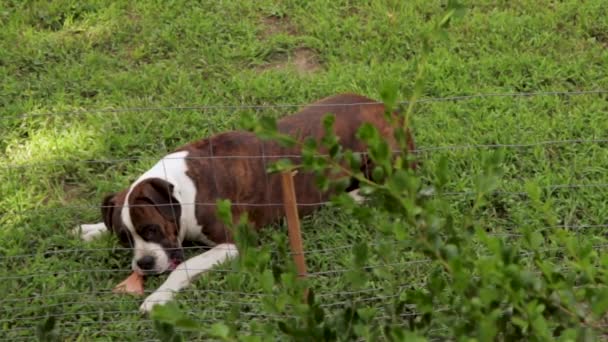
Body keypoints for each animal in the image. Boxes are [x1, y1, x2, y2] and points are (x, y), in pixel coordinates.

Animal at [76, 93, 416, 312]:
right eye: (125, 238)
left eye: (152, 230)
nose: (143, 264)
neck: (184, 192)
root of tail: (393, 112)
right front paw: (92, 229)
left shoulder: (233, 244)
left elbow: (184, 266)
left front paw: (159, 297)